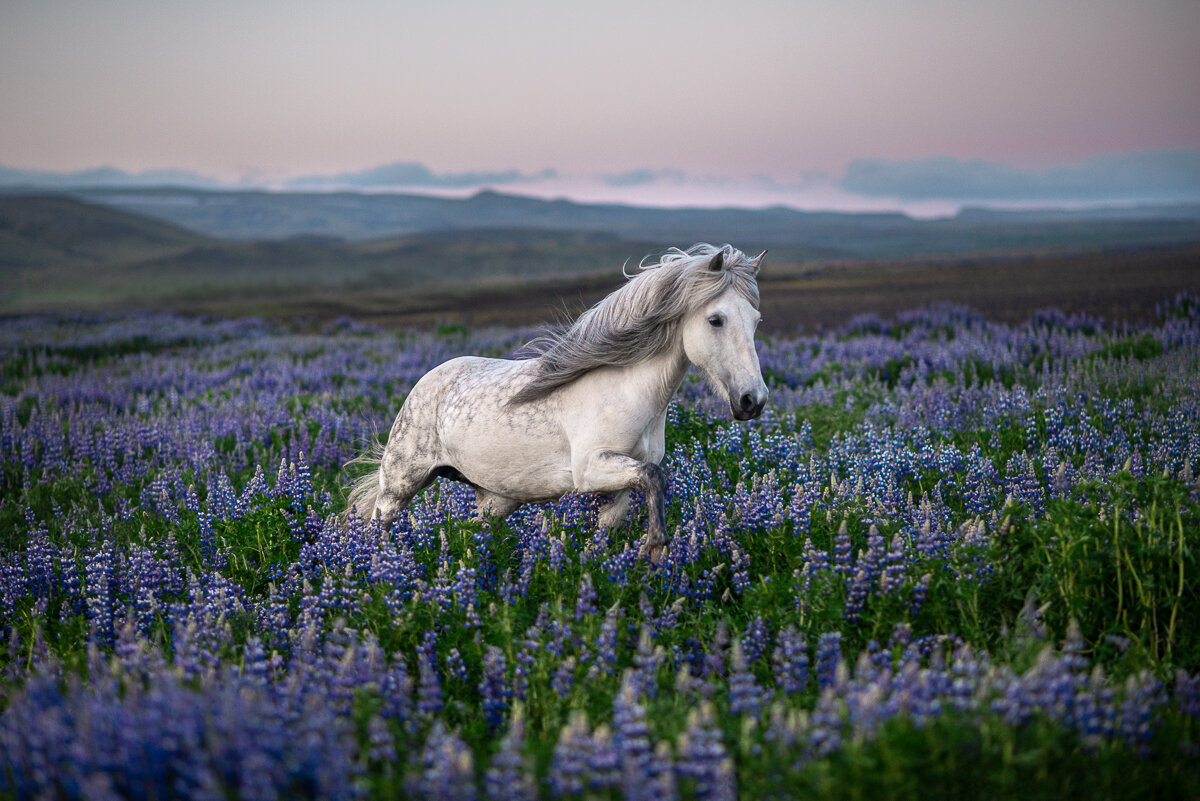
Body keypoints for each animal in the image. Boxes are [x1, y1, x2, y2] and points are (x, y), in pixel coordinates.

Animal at [345, 241, 768, 561]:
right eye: (716, 320)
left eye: (756, 321)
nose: (753, 400)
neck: (628, 391)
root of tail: (427, 381)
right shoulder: (591, 469)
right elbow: (654, 477)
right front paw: (656, 545)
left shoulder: (616, 485)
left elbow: (616, 517)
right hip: (400, 483)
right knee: (377, 526)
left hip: (496, 500)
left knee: (471, 531)